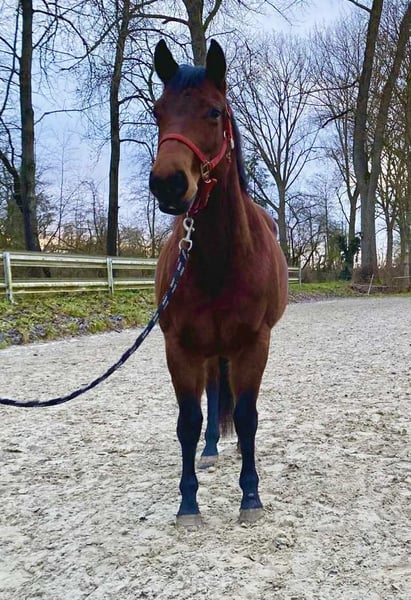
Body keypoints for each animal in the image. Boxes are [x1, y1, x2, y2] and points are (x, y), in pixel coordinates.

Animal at [149, 39, 288, 528]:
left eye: (213, 112)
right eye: (158, 111)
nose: (168, 184)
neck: (219, 261)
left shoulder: (254, 343)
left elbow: (246, 417)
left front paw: (251, 496)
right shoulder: (180, 347)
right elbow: (188, 421)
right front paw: (188, 503)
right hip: (209, 351)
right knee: (211, 394)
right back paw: (210, 449)